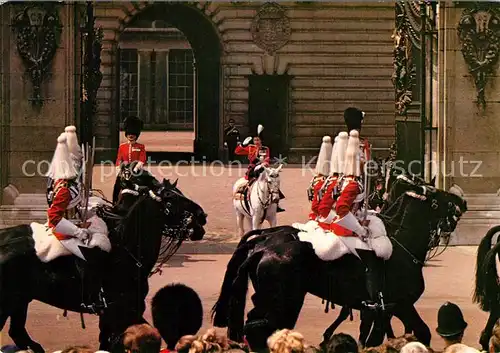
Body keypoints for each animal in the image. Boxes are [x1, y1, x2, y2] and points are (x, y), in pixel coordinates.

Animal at [0, 169, 207, 350]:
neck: (127, 250)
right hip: (9, 303)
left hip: (20, 301)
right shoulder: (122, 311)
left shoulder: (119, 314)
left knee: (18, 334)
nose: (202, 216)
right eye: (171, 197)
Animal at [210, 177, 464, 348]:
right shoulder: (399, 305)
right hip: (284, 301)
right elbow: (410, 333)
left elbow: (391, 335)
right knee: (259, 328)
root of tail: (262, 243)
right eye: (438, 197)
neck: (402, 243)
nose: (462, 204)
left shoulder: (390, 309)